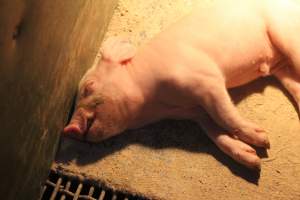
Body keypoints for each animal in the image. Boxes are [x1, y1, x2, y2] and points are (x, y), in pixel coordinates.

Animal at [62, 0, 300, 170]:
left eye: (89, 87)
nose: (69, 128)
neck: (159, 104)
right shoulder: (194, 112)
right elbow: (213, 131)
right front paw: (253, 161)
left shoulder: (207, 80)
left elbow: (224, 114)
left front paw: (264, 141)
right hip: (283, 67)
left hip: (287, 38)